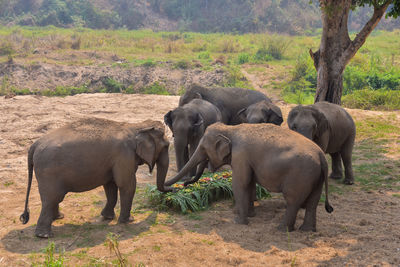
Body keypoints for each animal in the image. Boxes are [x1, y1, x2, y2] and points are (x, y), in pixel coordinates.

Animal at [20, 118, 171, 238]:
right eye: (167, 146)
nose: (172, 190)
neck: (136, 126)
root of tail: (34, 145)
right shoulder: (124, 156)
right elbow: (127, 185)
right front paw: (128, 220)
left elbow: (110, 185)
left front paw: (107, 217)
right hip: (49, 172)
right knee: (51, 198)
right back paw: (44, 235)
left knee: (54, 198)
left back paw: (58, 217)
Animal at [164, 123, 332, 232]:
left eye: (204, 149)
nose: (184, 185)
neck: (231, 128)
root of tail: (321, 155)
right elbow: (250, 183)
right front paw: (250, 215)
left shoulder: (241, 155)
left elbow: (240, 183)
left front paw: (239, 221)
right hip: (316, 177)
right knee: (313, 202)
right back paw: (307, 230)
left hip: (300, 176)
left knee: (293, 201)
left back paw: (281, 229)